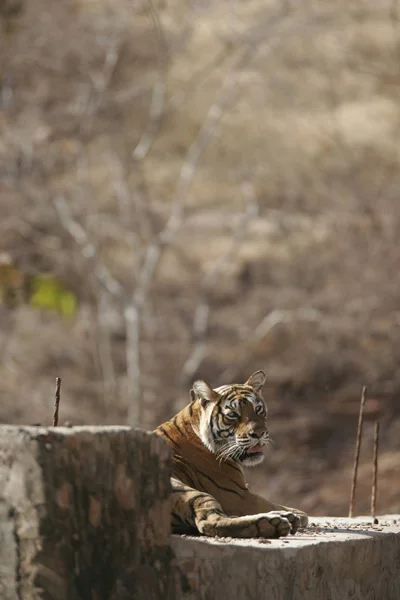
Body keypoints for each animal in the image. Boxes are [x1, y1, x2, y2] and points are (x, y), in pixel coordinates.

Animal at [152, 370, 306, 540]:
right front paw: (297, 513)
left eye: (258, 409)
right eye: (233, 414)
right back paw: (273, 521)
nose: (258, 434)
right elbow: (276, 505)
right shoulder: (237, 494)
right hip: (184, 490)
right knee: (211, 522)